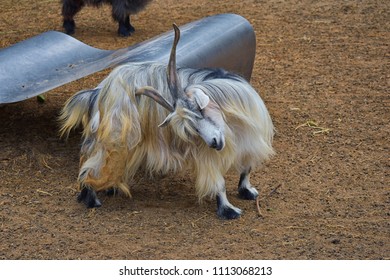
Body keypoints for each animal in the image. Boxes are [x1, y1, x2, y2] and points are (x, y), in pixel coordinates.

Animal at [60, 24, 274, 219]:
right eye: (192, 129)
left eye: (199, 110)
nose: (213, 142)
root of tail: (98, 92)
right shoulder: (207, 154)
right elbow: (218, 181)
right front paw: (229, 210)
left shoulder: (248, 140)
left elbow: (247, 167)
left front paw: (247, 191)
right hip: (114, 135)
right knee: (90, 162)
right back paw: (92, 199)